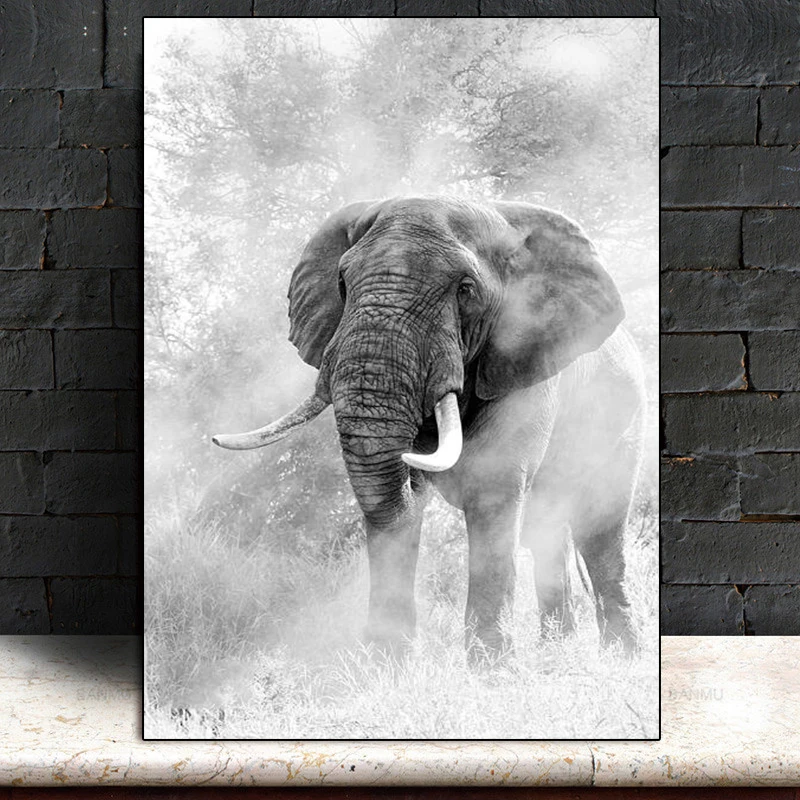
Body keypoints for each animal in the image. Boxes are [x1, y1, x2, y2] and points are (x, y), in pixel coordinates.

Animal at [212, 196, 645, 659]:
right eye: (342, 283)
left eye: (466, 290)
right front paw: (387, 662)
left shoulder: (524, 361)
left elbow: (493, 489)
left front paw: (490, 666)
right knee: (545, 530)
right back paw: (555, 649)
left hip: (623, 419)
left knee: (599, 529)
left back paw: (622, 653)